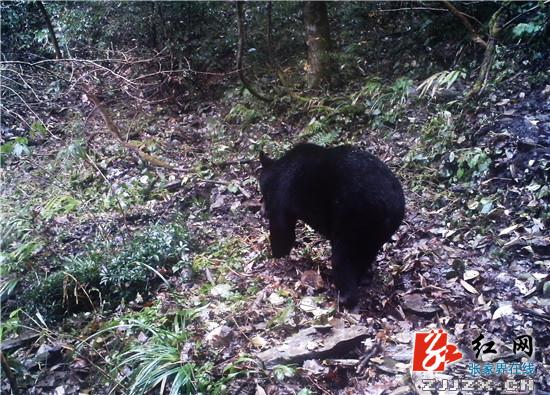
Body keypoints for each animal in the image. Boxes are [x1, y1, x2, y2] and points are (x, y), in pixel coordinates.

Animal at [258, 144, 406, 308]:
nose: (262, 212)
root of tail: (391, 206)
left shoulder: (283, 195)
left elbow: (282, 230)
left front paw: (275, 254)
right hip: (376, 232)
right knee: (364, 255)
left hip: (353, 221)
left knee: (342, 258)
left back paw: (342, 295)